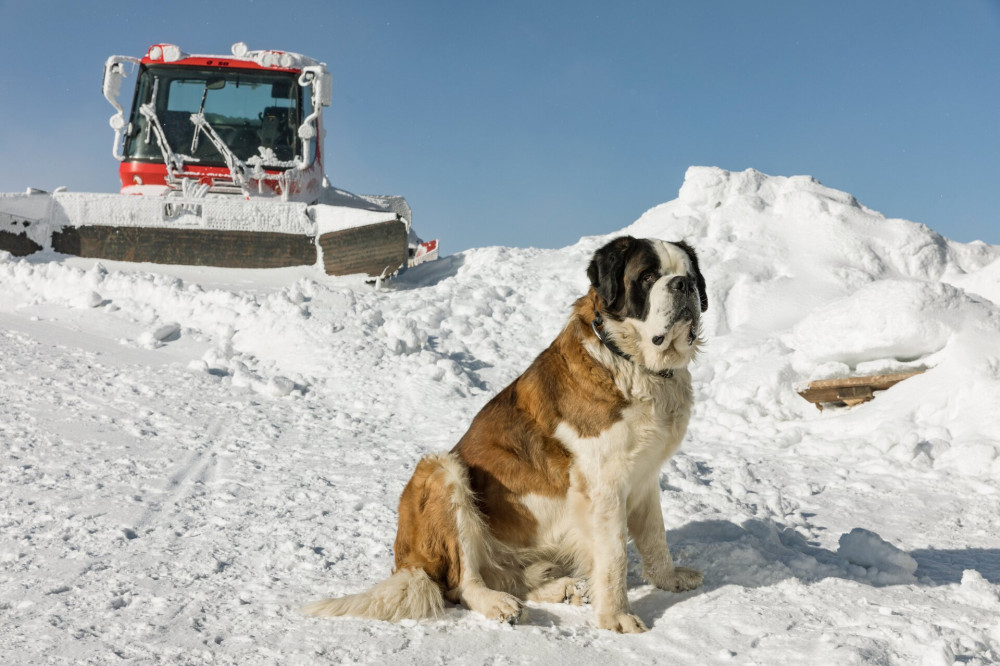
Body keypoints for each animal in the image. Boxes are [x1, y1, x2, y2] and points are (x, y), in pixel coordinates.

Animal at [306, 236, 712, 632]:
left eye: (690, 274)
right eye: (647, 276)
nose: (683, 284)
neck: (633, 364)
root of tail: (409, 561)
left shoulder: (644, 475)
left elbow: (655, 536)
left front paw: (670, 579)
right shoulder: (603, 486)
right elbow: (614, 558)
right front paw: (618, 618)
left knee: (507, 576)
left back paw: (560, 589)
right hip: (442, 472)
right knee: (463, 583)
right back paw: (500, 604)